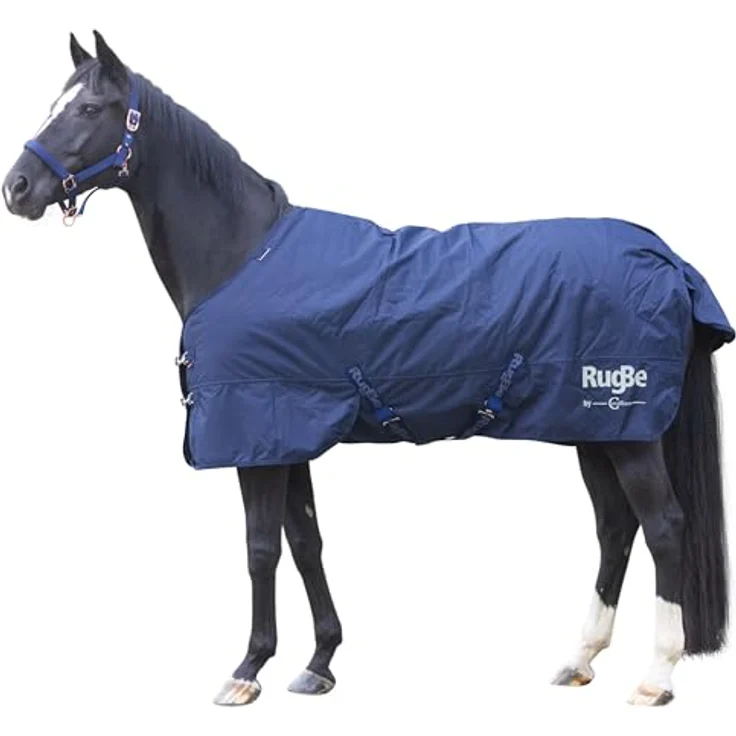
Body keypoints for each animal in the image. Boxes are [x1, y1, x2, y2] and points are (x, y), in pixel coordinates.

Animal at [3, 31, 733, 708]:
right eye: (54, 103)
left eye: (89, 108)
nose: (17, 188)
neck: (242, 254)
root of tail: (668, 260)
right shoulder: (286, 436)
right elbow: (306, 541)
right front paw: (319, 662)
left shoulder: (256, 435)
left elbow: (261, 547)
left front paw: (248, 669)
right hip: (595, 430)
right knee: (616, 527)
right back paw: (579, 659)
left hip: (629, 431)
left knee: (664, 527)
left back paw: (655, 677)